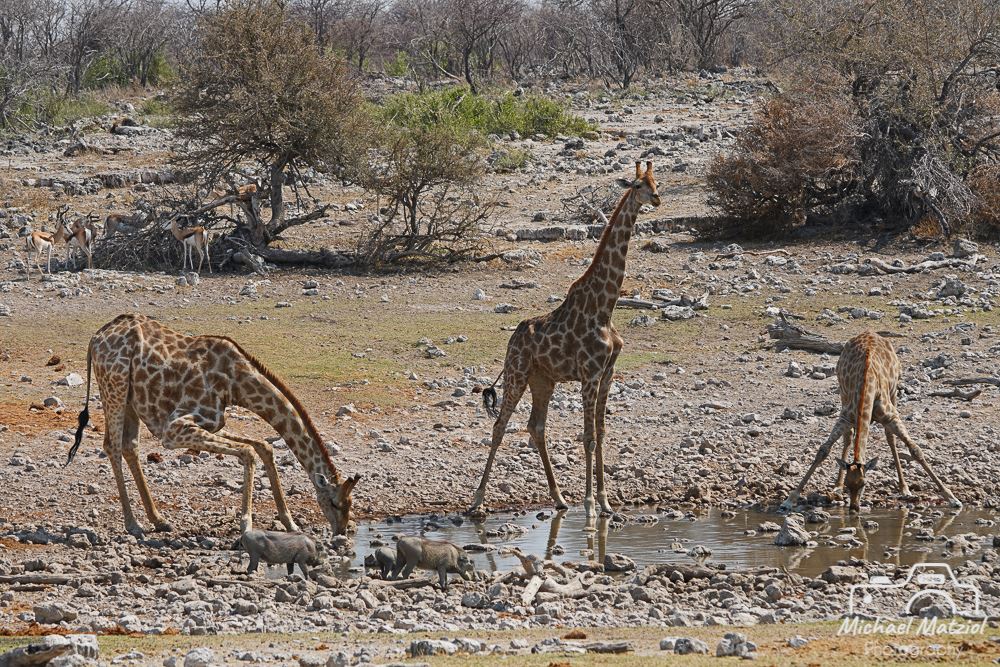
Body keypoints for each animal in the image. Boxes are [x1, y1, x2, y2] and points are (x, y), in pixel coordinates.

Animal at [68, 314, 360, 537]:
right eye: (334, 503)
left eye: (350, 504)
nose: (341, 532)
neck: (237, 384)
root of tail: (96, 338)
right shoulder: (174, 429)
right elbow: (248, 453)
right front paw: (246, 525)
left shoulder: (212, 423)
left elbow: (263, 446)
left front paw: (290, 523)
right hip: (114, 387)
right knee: (113, 446)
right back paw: (134, 524)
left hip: (131, 398)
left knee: (130, 445)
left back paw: (158, 520)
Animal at [470, 161, 661, 518]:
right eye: (638, 184)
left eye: (657, 182)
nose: (656, 199)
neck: (605, 308)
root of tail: (512, 340)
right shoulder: (589, 374)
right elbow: (587, 437)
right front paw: (590, 505)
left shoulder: (607, 374)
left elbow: (601, 433)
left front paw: (605, 501)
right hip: (517, 374)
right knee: (500, 425)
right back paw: (477, 500)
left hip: (542, 381)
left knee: (536, 427)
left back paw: (559, 498)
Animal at [780, 330, 961, 513]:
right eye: (848, 485)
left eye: (863, 484)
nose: (853, 508)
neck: (867, 385)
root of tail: (870, 332)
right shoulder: (845, 416)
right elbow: (823, 450)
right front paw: (789, 500)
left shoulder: (891, 416)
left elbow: (915, 450)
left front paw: (952, 498)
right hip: (842, 394)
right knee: (849, 437)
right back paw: (836, 486)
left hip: (894, 392)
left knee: (890, 438)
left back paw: (904, 488)